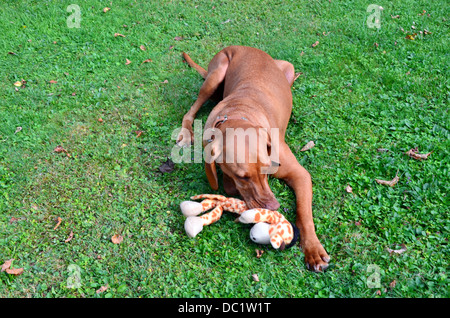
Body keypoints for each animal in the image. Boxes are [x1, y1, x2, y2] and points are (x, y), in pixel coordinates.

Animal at [177, 46, 330, 272]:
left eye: (267, 170)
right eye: (243, 177)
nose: (274, 207)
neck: (238, 113)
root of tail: (243, 47)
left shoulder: (300, 174)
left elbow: (304, 213)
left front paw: (313, 249)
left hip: (288, 68)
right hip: (216, 74)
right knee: (190, 111)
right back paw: (186, 133)